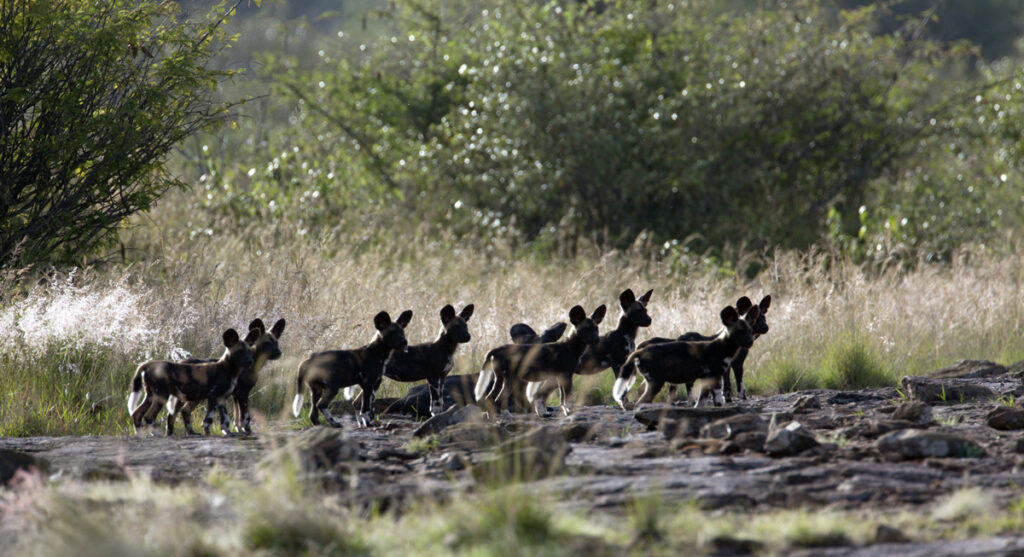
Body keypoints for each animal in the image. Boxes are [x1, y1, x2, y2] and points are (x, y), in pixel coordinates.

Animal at [126, 327, 260, 438]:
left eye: (249, 351)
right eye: (240, 352)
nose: (250, 361)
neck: (229, 370)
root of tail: (148, 364)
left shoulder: (221, 398)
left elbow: (225, 419)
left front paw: (228, 432)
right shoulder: (214, 397)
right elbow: (209, 419)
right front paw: (212, 434)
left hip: (151, 396)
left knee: (137, 414)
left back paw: (140, 434)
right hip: (162, 396)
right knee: (149, 416)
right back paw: (155, 434)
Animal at [473, 305, 602, 417]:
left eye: (596, 328)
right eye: (585, 329)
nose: (597, 339)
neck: (570, 347)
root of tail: (498, 349)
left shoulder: (560, 377)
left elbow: (560, 398)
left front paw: (559, 412)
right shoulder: (566, 376)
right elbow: (568, 398)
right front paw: (569, 412)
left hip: (500, 379)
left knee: (490, 398)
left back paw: (493, 418)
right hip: (511, 379)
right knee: (500, 398)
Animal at [606, 305, 761, 409]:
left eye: (749, 330)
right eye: (740, 331)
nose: (750, 342)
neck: (722, 346)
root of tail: (640, 351)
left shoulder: (714, 380)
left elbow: (710, 402)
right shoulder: (711, 378)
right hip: (656, 383)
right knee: (639, 403)